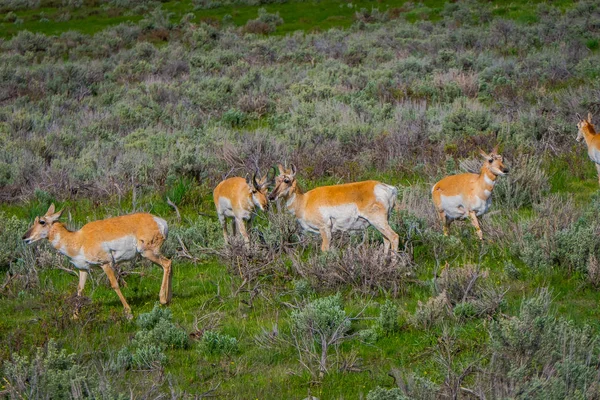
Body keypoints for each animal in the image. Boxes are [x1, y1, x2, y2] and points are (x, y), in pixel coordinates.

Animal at [21, 205, 171, 318]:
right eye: (35, 221)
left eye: (42, 222)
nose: (24, 237)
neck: (79, 239)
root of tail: (159, 221)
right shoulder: (83, 269)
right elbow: (80, 290)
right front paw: (75, 316)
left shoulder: (105, 264)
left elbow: (115, 285)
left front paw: (128, 311)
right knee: (169, 264)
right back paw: (168, 298)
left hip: (147, 252)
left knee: (167, 264)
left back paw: (163, 300)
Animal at [268, 163, 398, 253]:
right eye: (276, 180)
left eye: (286, 180)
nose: (271, 197)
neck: (305, 201)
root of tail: (388, 188)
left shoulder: (324, 228)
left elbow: (324, 249)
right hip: (381, 223)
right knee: (386, 239)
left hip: (378, 221)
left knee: (394, 237)